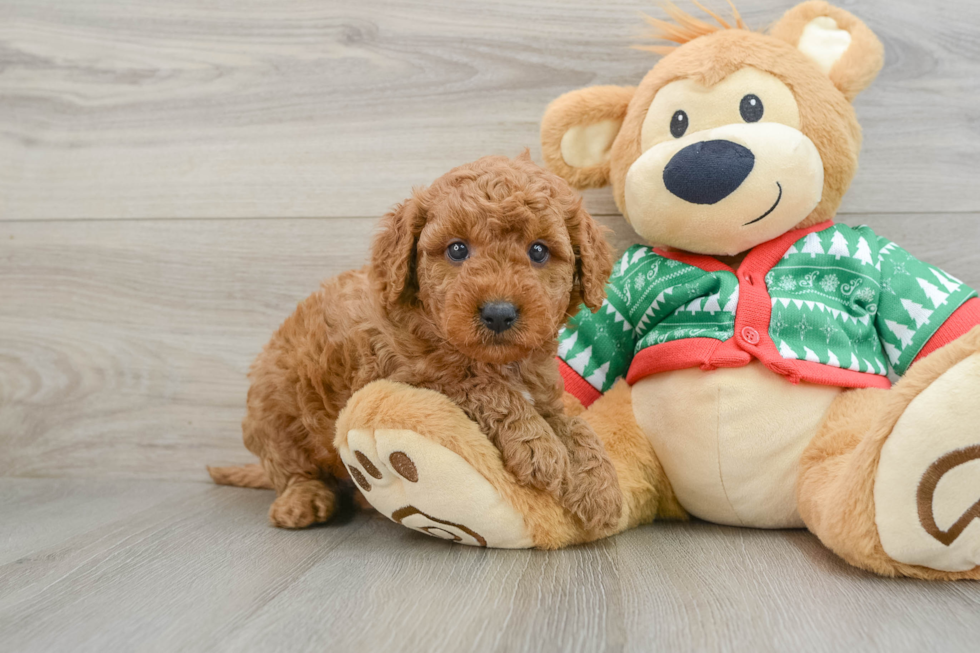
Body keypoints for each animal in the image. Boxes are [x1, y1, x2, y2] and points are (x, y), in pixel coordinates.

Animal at [211, 154, 624, 536]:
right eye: (457, 250)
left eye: (538, 251)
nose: (499, 313)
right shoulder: (411, 375)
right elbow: (485, 388)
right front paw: (539, 447)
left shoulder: (543, 392)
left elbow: (574, 424)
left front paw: (599, 485)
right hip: (275, 415)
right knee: (292, 470)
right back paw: (302, 500)